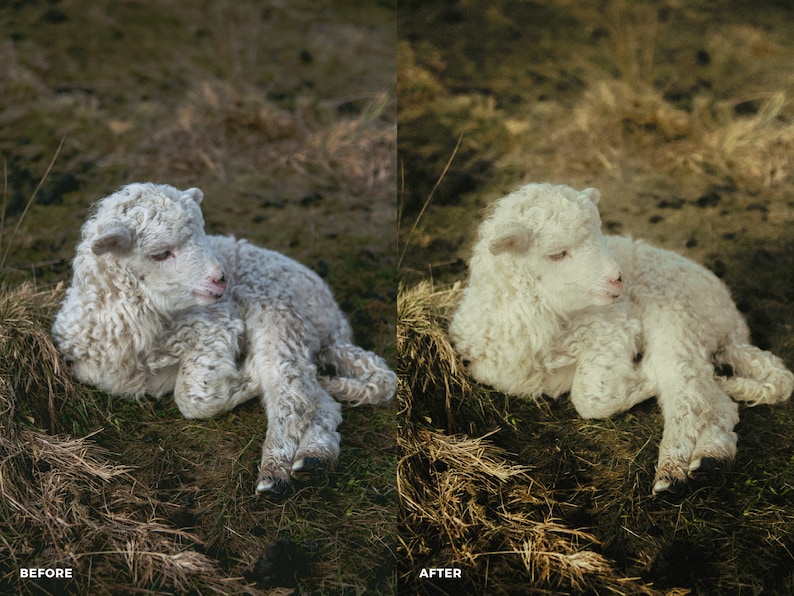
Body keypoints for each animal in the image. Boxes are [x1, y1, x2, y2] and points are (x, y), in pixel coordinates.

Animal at [52, 182, 396, 496]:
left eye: (204, 235)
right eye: (160, 254)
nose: (220, 279)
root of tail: (334, 324)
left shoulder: (216, 326)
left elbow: (192, 398)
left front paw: (248, 376)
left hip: (279, 309)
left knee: (290, 389)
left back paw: (275, 473)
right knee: (319, 399)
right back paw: (314, 457)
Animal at [449, 182, 793, 494]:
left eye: (600, 235)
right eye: (557, 253)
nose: (618, 279)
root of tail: (732, 324)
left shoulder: (614, 328)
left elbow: (590, 398)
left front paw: (643, 377)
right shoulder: (494, 369)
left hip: (677, 314)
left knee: (686, 390)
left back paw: (672, 472)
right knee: (716, 400)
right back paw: (712, 458)